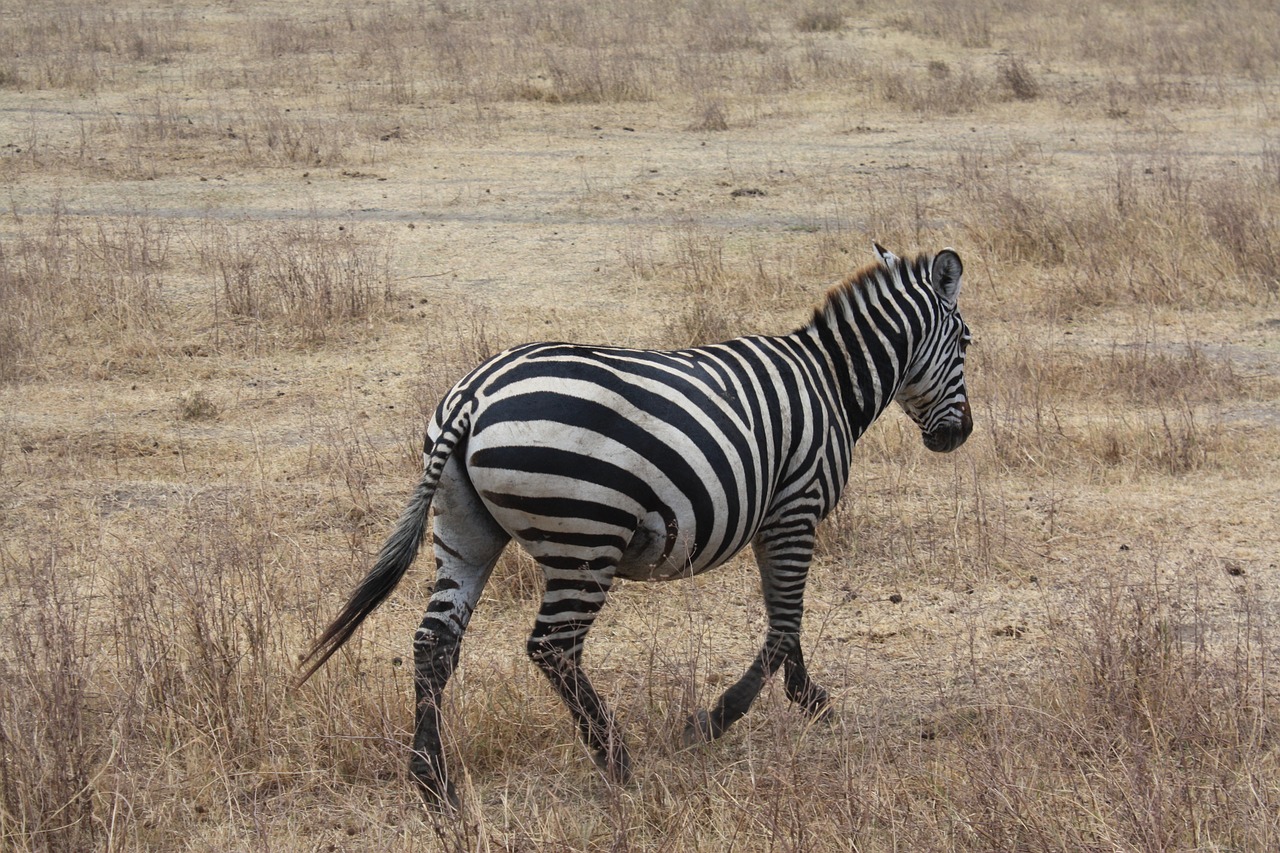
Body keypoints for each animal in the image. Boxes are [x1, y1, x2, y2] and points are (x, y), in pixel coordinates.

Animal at [299, 240, 972, 804]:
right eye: (966, 343)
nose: (958, 437)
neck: (831, 380)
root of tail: (473, 397)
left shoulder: (778, 520)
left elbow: (786, 624)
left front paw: (808, 701)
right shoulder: (794, 508)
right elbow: (784, 625)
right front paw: (715, 720)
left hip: (463, 528)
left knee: (434, 641)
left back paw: (431, 781)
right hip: (586, 536)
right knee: (553, 647)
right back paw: (617, 762)